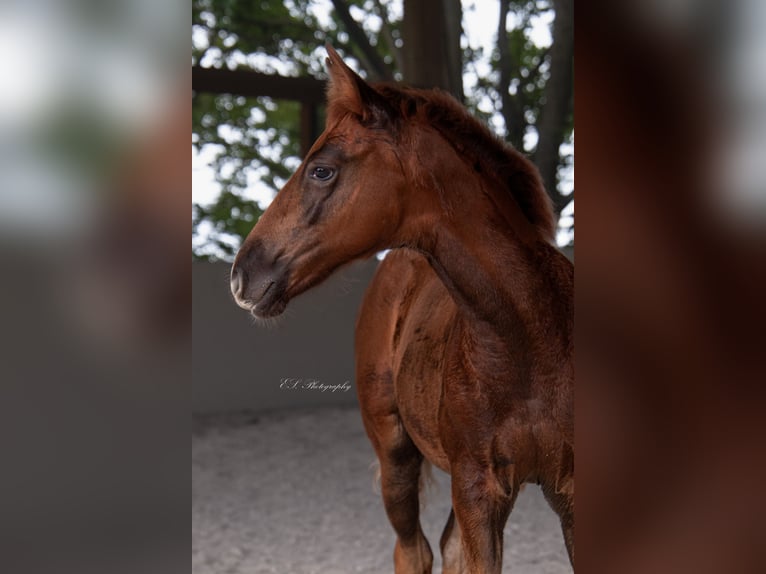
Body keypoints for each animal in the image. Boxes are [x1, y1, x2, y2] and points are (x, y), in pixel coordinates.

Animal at [231, 47, 572, 572]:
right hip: (396, 455)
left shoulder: (568, 495)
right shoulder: (478, 490)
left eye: (322, 169)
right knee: (413, 550)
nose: (242, 275)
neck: (530, 341)